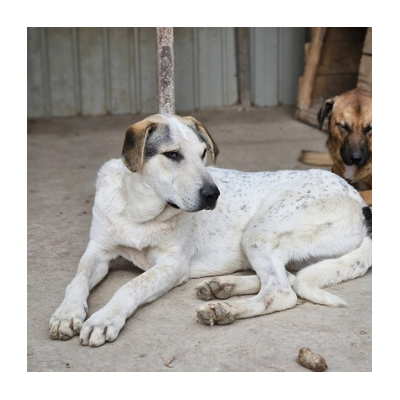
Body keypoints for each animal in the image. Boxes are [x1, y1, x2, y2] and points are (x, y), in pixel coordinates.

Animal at [49, 114, 372, 347]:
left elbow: (131, 286)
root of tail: (358, 200)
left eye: (204, 153)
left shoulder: (172, 265)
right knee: (290, 279)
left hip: (258, 232)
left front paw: (104, 320)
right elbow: (77, 280)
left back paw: (226, 309)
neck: (140, 212)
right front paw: (67, 314)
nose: (213, 194)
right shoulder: (98, 251)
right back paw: (221, 286)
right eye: (173, 155)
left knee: (282, 292)